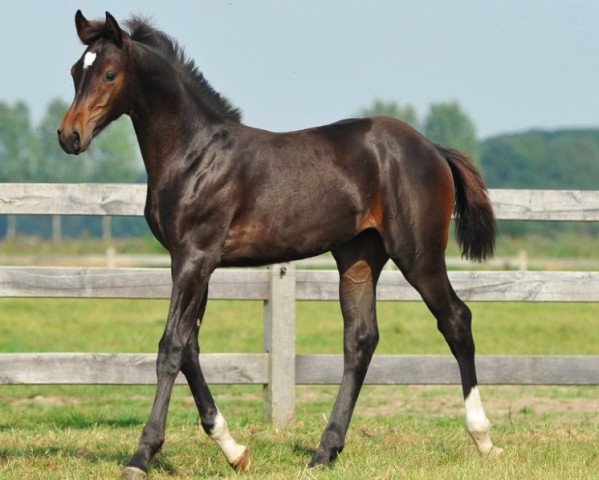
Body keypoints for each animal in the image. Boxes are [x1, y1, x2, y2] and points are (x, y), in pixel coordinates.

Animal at [58, 9, 504, 478]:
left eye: (109, 74)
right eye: (74, 71)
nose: (69, 136)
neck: (194, 155)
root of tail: (433, 148)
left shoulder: (194, 257)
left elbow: (171, 347)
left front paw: (142, 455)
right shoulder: (196, 262)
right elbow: (191, 348)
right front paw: (234, 450)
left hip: (418, 254)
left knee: (456, 320)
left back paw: (484, 439)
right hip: (359, 256)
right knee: (360, 340)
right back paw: (325, 451)